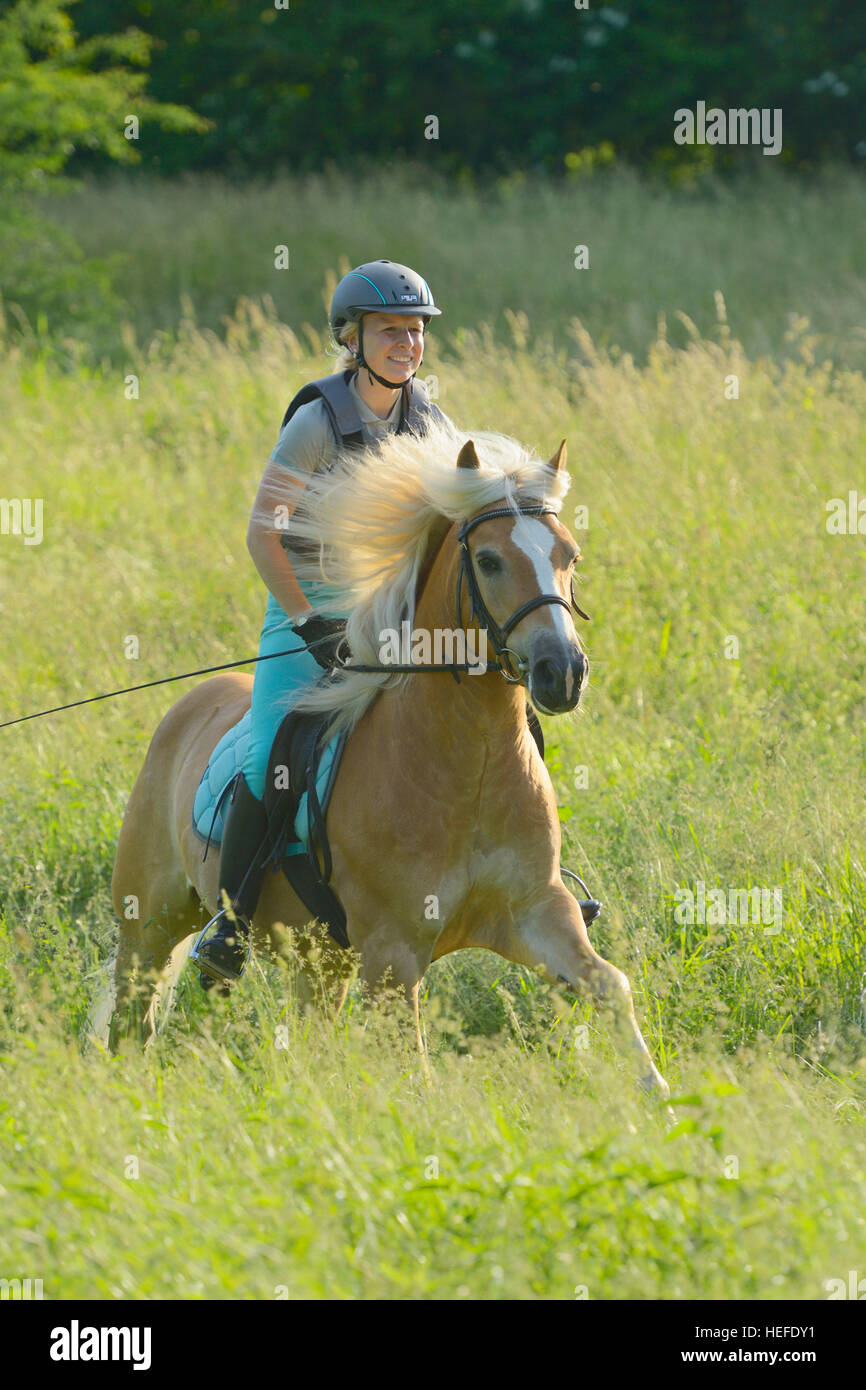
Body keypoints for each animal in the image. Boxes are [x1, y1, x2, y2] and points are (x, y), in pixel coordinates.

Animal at [98, 422, 669, 1099]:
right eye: (489, 560)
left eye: (569, 555)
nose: (564, 672)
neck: (467, 766)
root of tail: (187, 706)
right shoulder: (394, 954)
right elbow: (415, 1069)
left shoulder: (537, 911)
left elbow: (611, 986)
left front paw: (660, 1097)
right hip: (149, 925)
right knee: (132, 1019)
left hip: (319, 961)